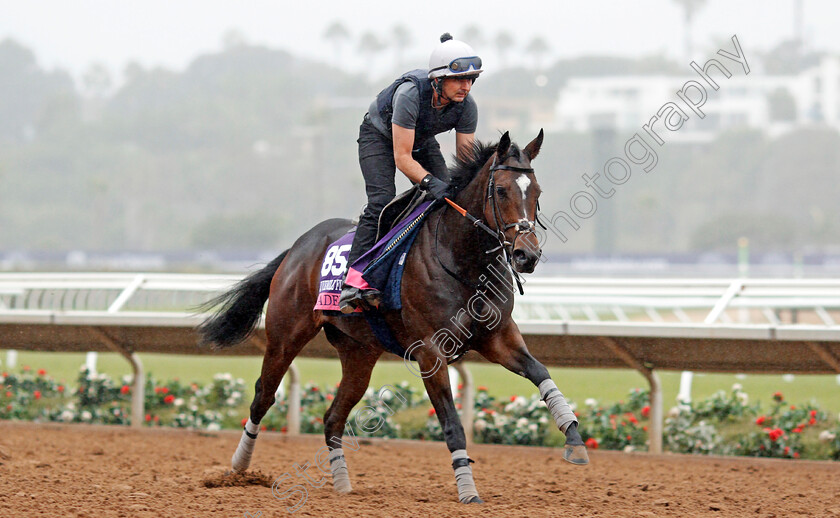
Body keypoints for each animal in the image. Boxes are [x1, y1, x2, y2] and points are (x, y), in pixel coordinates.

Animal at [199, 131, 588, 508]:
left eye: (536, 192)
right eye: (502, 190)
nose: (526, 255)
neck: (463, 261)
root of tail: (298, 247)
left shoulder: (498, 337)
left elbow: (541, 373)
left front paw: (574, 439)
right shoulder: (431, 352)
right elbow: (451, 423)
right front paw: (467, 490)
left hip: (358, 354)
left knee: (332, 417)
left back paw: (342, 485)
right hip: (285, 336)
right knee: (262, 397)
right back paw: (238, 468)